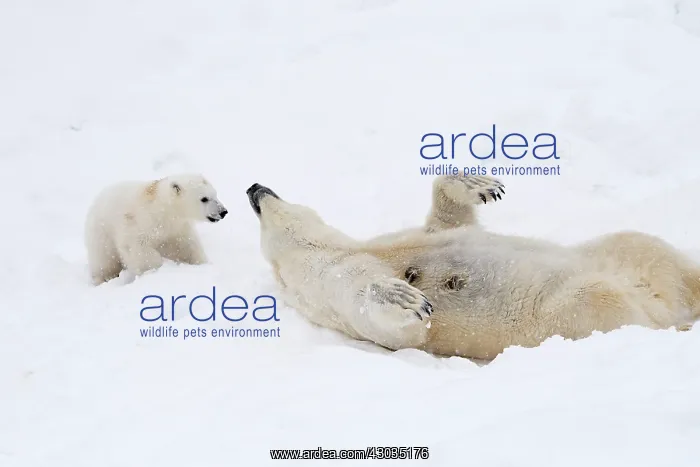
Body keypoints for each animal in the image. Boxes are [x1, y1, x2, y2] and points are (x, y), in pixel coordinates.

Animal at [85, 173, 228, 285]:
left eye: (215, 194)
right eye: (204, 199)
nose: (223, 211)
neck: (162, 208)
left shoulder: (177, 228)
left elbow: (187, 245)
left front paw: (202, 263)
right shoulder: (141, 223)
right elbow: (137, 247)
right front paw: (155, 269)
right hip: (101, 232)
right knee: (105, 259)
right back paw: (104, 278)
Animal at [245, 176, 700, 360]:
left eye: (263, 201)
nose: (253, 188)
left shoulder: (410, 235)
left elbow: (450, 222)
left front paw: (479, 184)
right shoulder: (329, 283)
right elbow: (394, 322)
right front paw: (403, 296)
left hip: (621, 254)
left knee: (650, 248)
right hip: (563, 313)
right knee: (599, 299)